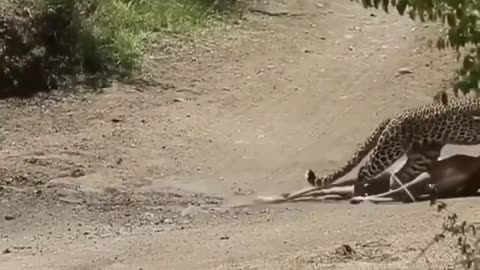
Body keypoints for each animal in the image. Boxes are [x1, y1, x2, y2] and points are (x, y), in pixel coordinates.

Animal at [306, 89, 480, 197]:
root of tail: (394, 117)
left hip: (423, 156)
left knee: (399, 176)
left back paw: (406, 193)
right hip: (388, 150)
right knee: (363, 171)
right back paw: (360, 195)